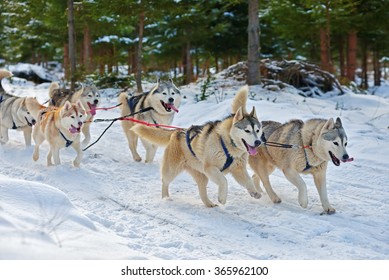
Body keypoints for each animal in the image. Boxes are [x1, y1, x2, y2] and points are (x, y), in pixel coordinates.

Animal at [132, 86, 262, 207]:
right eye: (247, 130)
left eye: (257, 130)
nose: (258, 142)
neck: (228, 143)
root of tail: (176, 131)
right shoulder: (210, 168)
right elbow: (224, 181)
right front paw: (222, 198)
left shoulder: (238, 170)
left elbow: (249, 181)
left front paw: (255, 192)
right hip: (172, 170)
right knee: (165, 181)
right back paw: (165, 198)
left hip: (202, 175)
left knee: (202, 191)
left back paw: (209, 204)